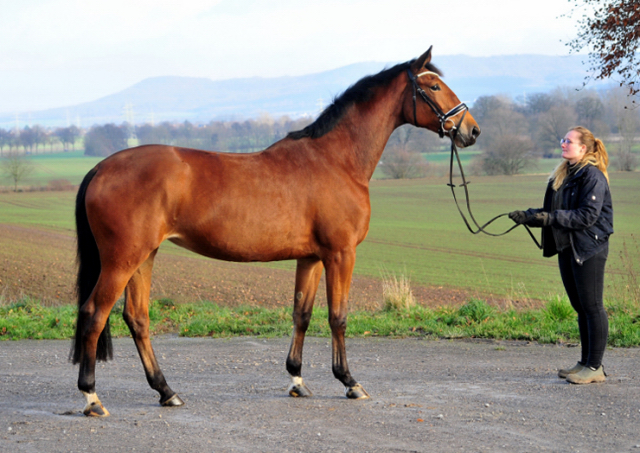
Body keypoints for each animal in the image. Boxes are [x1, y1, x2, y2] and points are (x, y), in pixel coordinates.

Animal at [71, 46, 480, 416]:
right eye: (434, 86)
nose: (472, 130)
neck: (336, 159)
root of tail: (101, 168)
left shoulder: (311, 257)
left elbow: (302, 313)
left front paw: (297, 380)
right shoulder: (341, 254)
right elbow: (338, 316)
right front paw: (349, 382)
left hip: (145, 256)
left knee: (137, 318)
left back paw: (166, 391)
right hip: (122, 260)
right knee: (94, 314)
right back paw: (92, 397)